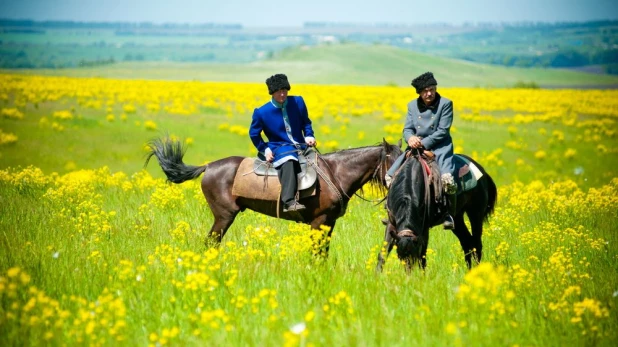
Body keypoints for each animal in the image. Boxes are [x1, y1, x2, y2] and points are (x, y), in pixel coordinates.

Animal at [146, 137, 402, 254]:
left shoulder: (328, 223)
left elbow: (323, 252)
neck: (336, 172)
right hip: (224, 216)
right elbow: (316, 252)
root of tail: (207, 167)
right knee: (211, 241)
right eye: (393, 159)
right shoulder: (318, 222)